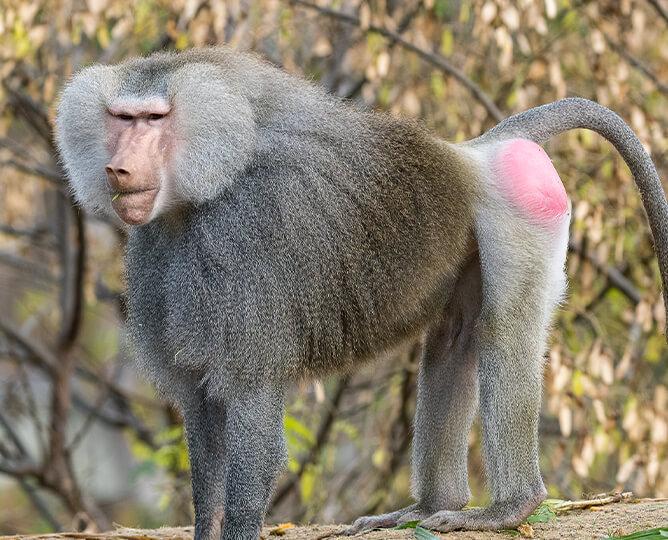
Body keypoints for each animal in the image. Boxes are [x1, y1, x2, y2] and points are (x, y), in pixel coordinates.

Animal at [54, 47, 668, 540]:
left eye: (153, 119)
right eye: (120, 119)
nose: (118, 168)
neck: (196, 198)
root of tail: (474, 152)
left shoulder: (245, 244)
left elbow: (251, 411)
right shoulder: (158, 254)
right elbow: (203, 413)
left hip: (521, 205)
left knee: (505, 329)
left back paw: (509, 509)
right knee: (455, 341)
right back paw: (429, 508)